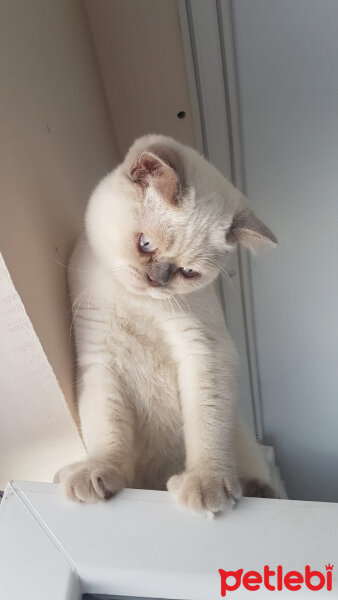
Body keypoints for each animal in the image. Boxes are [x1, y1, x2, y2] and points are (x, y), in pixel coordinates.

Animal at [54, 134, 278, 512]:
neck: (139, 303)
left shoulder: (204, 351)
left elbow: (206, 426)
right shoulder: (101, 361)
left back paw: (256, 489)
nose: (155, 281)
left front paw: (205, 484)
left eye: (187, 272)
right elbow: (107, 434)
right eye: (146, 244)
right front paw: (98, 472)